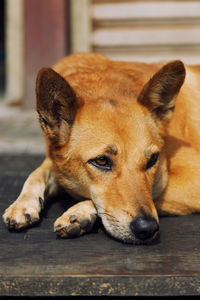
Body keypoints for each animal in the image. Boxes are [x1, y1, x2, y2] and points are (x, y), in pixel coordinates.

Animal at [2, 52, 200, 244]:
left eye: (152, 160)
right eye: (102, 161)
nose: (148, 228)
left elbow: (154, 193)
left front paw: (81, 212)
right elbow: (37, 173)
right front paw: (22, 204)